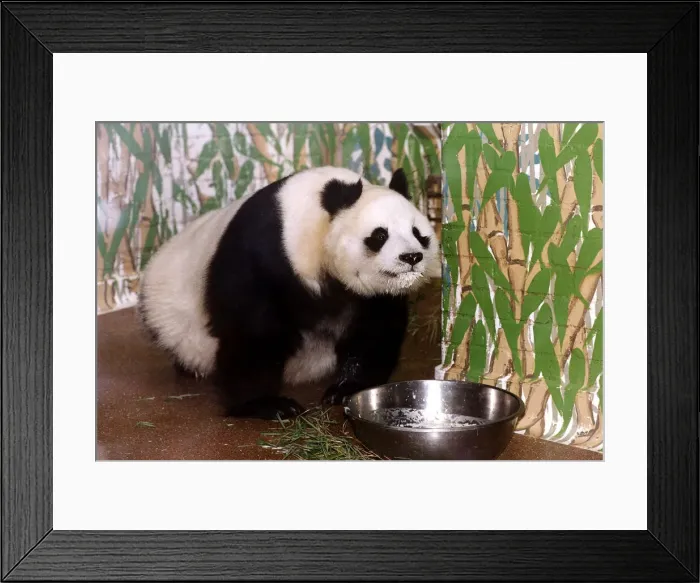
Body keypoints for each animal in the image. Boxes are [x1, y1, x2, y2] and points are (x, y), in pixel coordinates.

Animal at [137, 166, 439, 420]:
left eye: (418, 233)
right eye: (379, 236)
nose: (411, 257)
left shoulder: (370, 296)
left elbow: (372, 331)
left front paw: (346, 388)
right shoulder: (263, 254)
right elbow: (253, 332)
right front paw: (266, 405)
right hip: (168, 308)